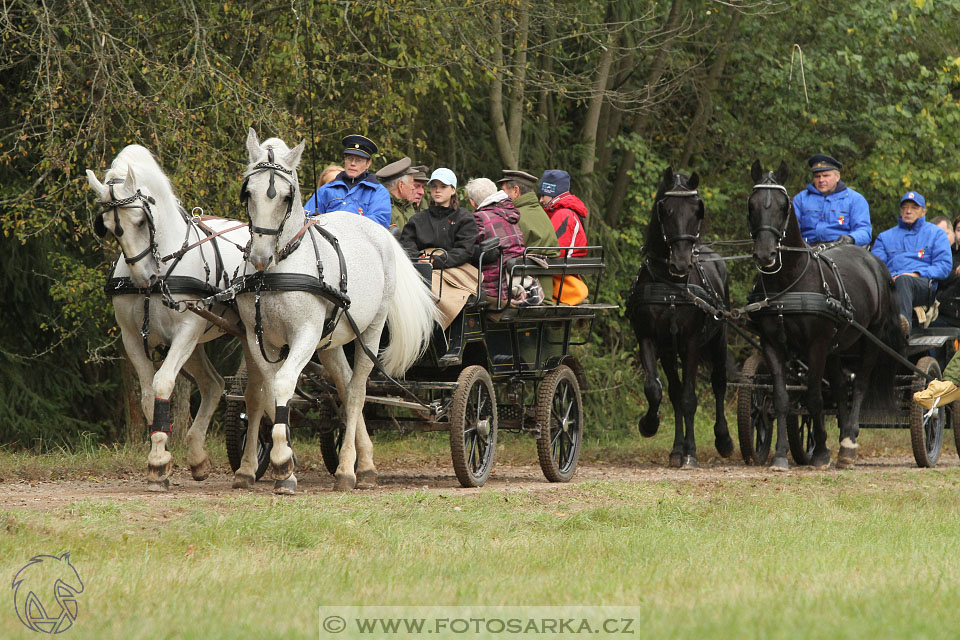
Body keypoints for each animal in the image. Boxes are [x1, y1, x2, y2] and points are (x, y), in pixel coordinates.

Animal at [85, 148, 251, 492]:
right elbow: (149, 395)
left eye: (140, 220)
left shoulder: (187, 329)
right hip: (198, 342)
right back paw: (198, 458)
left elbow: (163, 382)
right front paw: (158, 460)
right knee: (213, 384)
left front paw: (160, 462)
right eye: (108, 226)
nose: (144, 278)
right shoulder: (132, 337)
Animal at [238, 127, 436, 492]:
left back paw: (348, 471)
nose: (259, 257)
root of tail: (377, 231)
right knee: (343, 385)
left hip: (371, 330)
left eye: (286, 197)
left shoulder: (304, 334)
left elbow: (284, 383)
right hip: (330, 341)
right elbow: (269, 388)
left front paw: (282, 461)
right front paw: (283, 464)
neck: (279, 269)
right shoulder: (258, 338)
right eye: (248, 193)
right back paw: (365, 462)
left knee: (357, 391)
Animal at [628, 168, 732, 468]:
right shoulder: (651, 339)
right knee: (675, 392)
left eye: (697, 210)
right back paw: (677, 448)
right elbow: (657, 389)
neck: (671, 286)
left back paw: (723, 440)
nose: (682, 262)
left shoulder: (692, 342)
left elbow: (689, 398)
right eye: (666, 210)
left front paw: (692, 452)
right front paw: (649, 425)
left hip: (718, 340)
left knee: (719, 384)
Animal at [748, 160, 904, 470]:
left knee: (860, 386)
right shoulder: (773, 344)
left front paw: (820, 452)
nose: (765, 254)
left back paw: (849, 443)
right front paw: (781, 454)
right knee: (842, 387)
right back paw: (842, 438)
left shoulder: (816, 344)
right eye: (752, 203)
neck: (790, 281)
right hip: (837, 346)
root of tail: (875, 263)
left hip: (871, 339)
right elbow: (782, 398)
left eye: (783, 206)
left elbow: (814, 397)